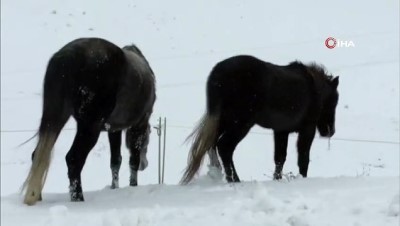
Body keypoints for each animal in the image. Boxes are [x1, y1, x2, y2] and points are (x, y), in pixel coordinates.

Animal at [181, 54, 338, 184]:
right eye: (334, 101)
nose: (330, 131)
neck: (314, 88)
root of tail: (217, 75)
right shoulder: (307, 129)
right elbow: (303, 158)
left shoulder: (281, 130)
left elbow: (280, 158)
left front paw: (277, 179)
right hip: (240, 124)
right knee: (225, 147)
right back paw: (235, 180)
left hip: (222, 122)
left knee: (212, 145)